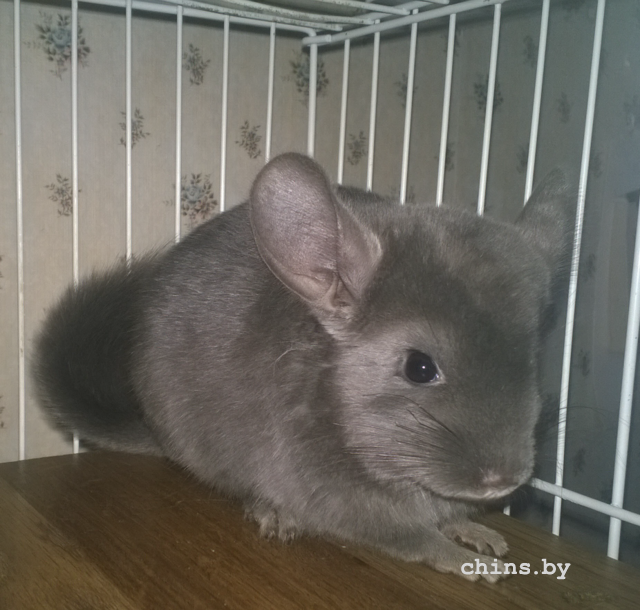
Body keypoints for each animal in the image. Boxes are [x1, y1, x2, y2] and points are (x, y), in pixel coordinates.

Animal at [33, 153, 575, 582]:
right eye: (420, 367)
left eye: (533, 360)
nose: (505, 480)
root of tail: (156, 433)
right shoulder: (346, 503)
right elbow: (414, 539)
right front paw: (475, 565)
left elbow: (451, 521)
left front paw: (483, 534)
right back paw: (275, 515)